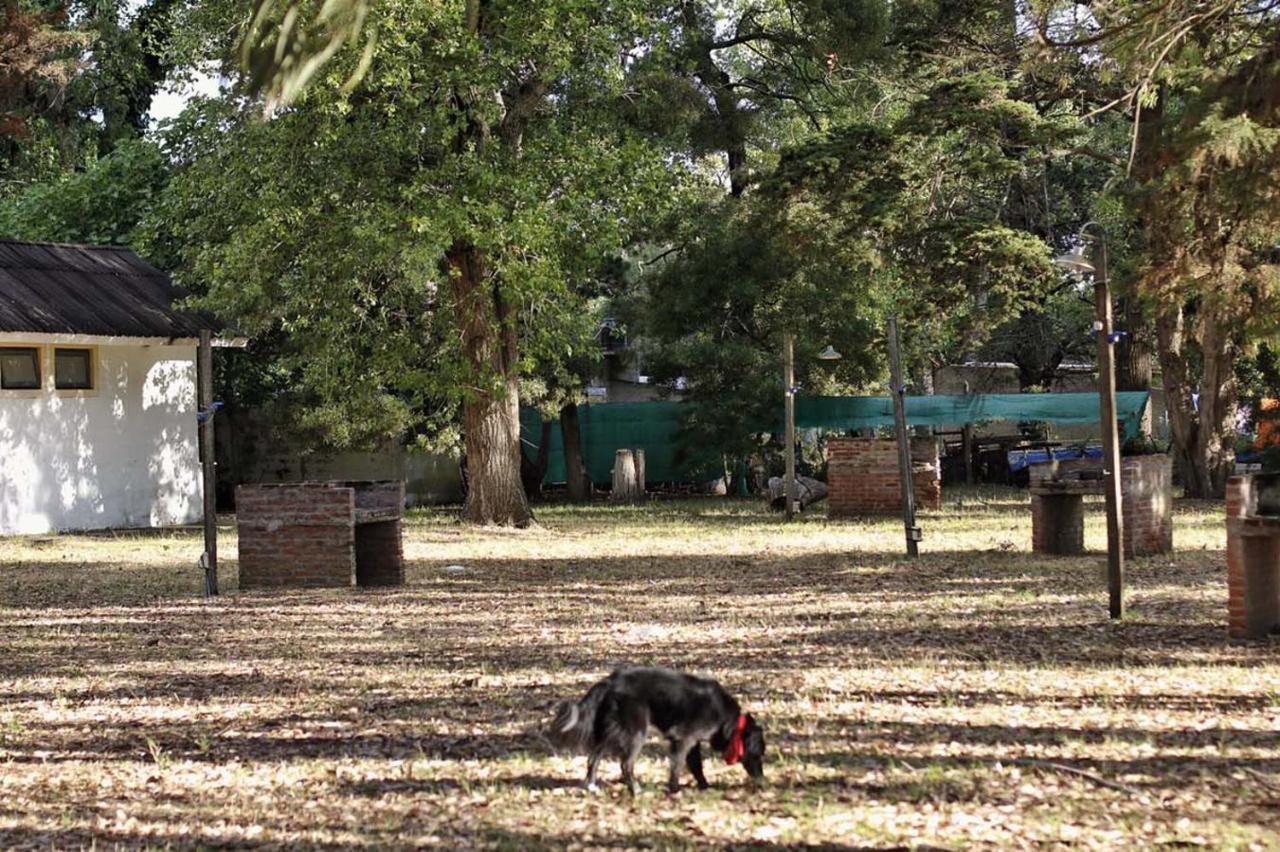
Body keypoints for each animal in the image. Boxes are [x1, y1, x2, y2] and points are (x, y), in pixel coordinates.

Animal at [547, 665, 757, 788]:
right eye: (759, 751)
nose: (760, 778)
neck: (728, 719)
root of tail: (609, 681)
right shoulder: (683, 739)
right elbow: (677, 765)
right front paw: (674, 789)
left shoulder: (692, 742)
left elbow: (696, 766)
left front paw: (703, 786)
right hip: (636, 733)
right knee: (625, 764)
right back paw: (635, 791)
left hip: (610, 732)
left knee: (593, 758)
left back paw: (592, 786)